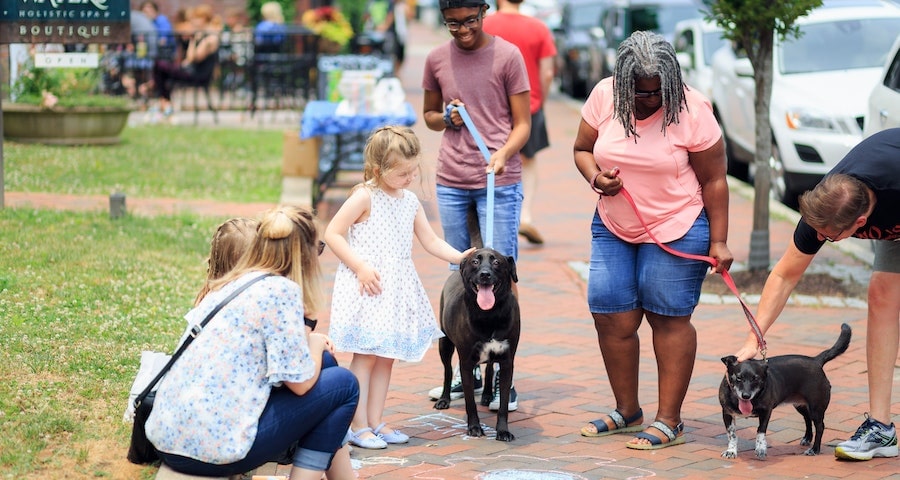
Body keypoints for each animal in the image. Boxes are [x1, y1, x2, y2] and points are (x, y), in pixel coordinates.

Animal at [432, 249, 516, 440]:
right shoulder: (466, 363)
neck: (489, 314)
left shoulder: (507, 362)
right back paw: (444, 399)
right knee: (447, 371)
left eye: (497, 262)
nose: (485, 274)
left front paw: (503, 431)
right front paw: (474, 427)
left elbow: (503, 404)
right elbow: (470, 402)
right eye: (475, 261)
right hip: (444, 344)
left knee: (490, 367)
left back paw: (487, 395)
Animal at [716, 322, 852, 458]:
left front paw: (761, 448)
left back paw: (815, 449)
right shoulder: (727, 414)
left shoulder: (766, 412)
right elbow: (732, 434)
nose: (746, 395)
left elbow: (760, 431)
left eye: (756, 378)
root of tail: (816, 361)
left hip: (816, 408)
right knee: (807, 418)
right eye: (738, 378)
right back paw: (807, 438)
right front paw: (731, 451)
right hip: (800, 405)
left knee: (820, 426)